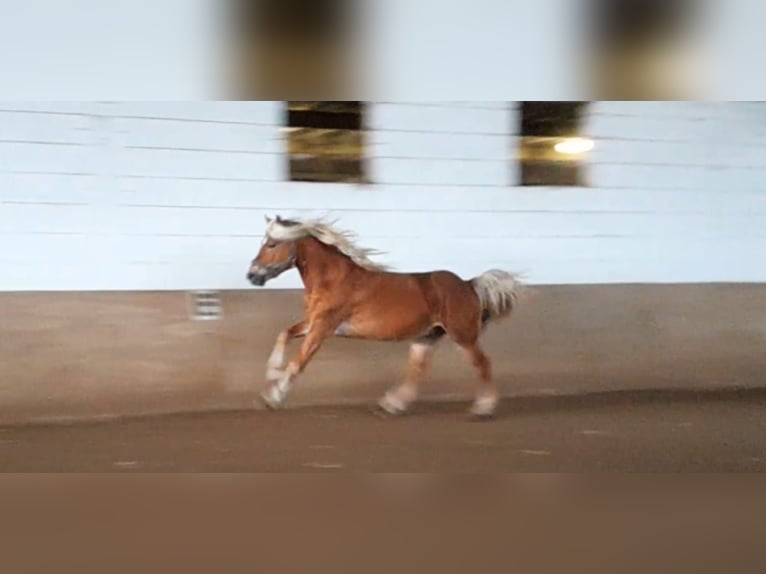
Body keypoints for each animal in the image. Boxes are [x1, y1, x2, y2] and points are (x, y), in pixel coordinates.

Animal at [249, 216, 524, 418]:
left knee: (482, 364)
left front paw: (274, 396)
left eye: (271, 244)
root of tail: (468, 284)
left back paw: (483, 408)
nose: (252, 275)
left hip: (462, 335)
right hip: (427, 336)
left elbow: (299, 362)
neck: (333, 278)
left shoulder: (323, 327)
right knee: (417, 370)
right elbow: (284, 334)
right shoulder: (314, 322)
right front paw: (272, 373)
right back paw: (392, 404)